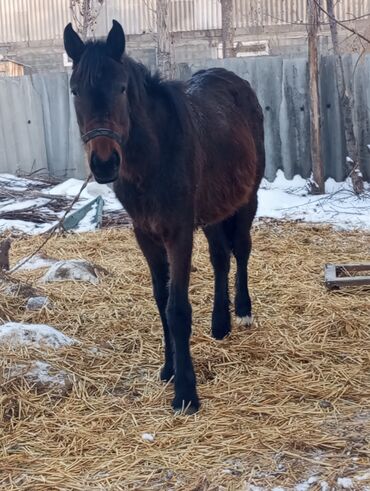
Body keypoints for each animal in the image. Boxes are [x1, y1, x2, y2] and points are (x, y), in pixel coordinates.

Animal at [65, 20, 264, 416]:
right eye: (75, 90)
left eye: (121, 87)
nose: (105, 163)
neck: (154, 157)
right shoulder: (146, 234)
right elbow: (161, 301)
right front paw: (170, 369)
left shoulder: (178, 233)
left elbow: (177, 309)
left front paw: (186, 392)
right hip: (213, 210)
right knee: (220, 258)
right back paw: (220, 323)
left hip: (246, 199)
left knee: (241, 250)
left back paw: (243, 311)